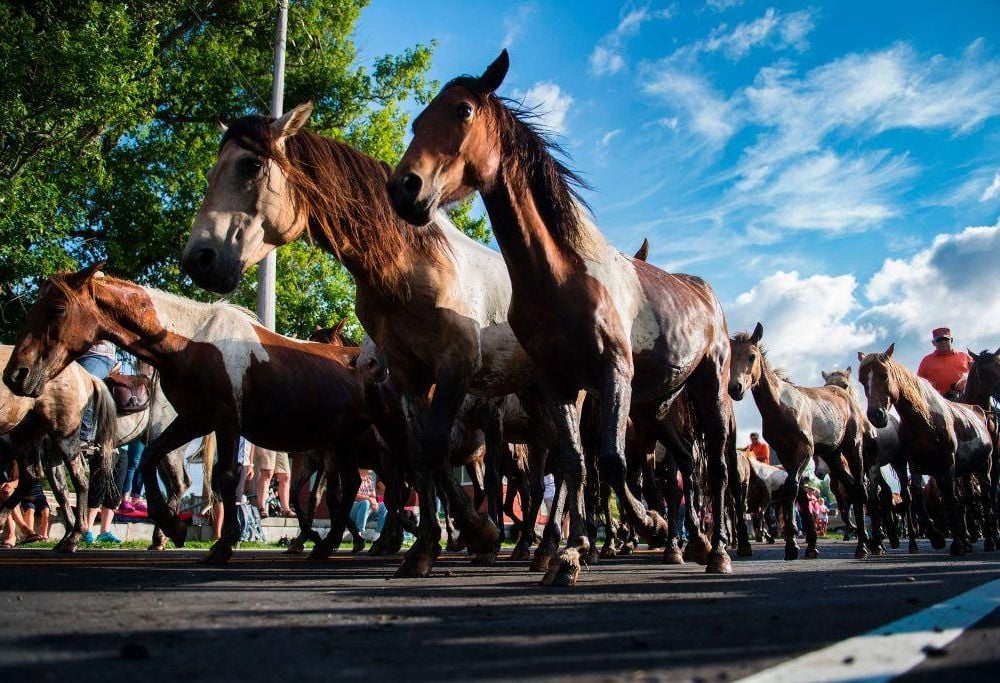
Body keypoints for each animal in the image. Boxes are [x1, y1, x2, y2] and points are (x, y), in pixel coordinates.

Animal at [2, 264, 376, 564]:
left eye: (57, 308)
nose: (16, 375)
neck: (193, 342)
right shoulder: (194, 419)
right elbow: (151, 456)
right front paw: (171, 524)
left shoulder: (227, 420)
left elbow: (226, 477)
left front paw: (222, 545)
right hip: (341, 445)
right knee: (347, 487)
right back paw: (327, 544)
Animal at [182, 100, 556, 576]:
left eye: (250, 165)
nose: (198, 259)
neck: (412, 265)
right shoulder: (411, 381)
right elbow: (420, 460)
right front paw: (424, 547)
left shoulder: (456, 366)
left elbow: (433, 455)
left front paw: (480, 535)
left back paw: (547, 546)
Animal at [386, 49, 740, 584]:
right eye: (415, 121)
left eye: (463, 110)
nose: (404, 188)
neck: (562, 274)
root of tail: (704, 291)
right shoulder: (559, 384)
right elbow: (575, 466)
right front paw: (570, 555)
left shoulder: (613, 372)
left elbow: (610, 464)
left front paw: (649, 527)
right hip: (658, 406)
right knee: (685, 463)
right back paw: (693, 543)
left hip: (710, 385)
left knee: (713, 467)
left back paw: (715, 550)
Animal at [732, 324, 872, 560]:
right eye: (730, 357)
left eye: (752, 356)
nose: (735, 388)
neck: (781, 407)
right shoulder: (785, 453)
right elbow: (800, 496)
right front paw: (810, 546)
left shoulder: (805, 449)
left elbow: (792, 489)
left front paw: (792, 546)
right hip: (831, 455)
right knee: (851, 487)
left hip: (852, 447)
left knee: (860, 488)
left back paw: (865, 546)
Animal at [856, 342, 996, 556]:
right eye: (862, 380)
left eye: (885, 375)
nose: (875, 415)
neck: (924, 420)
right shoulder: (916, 464)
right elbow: (917, 498)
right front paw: (937, 537)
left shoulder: (947, 464)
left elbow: (950, 499)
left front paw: (957, 543)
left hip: (984, 467)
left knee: (985, 498)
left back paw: (988, 539)